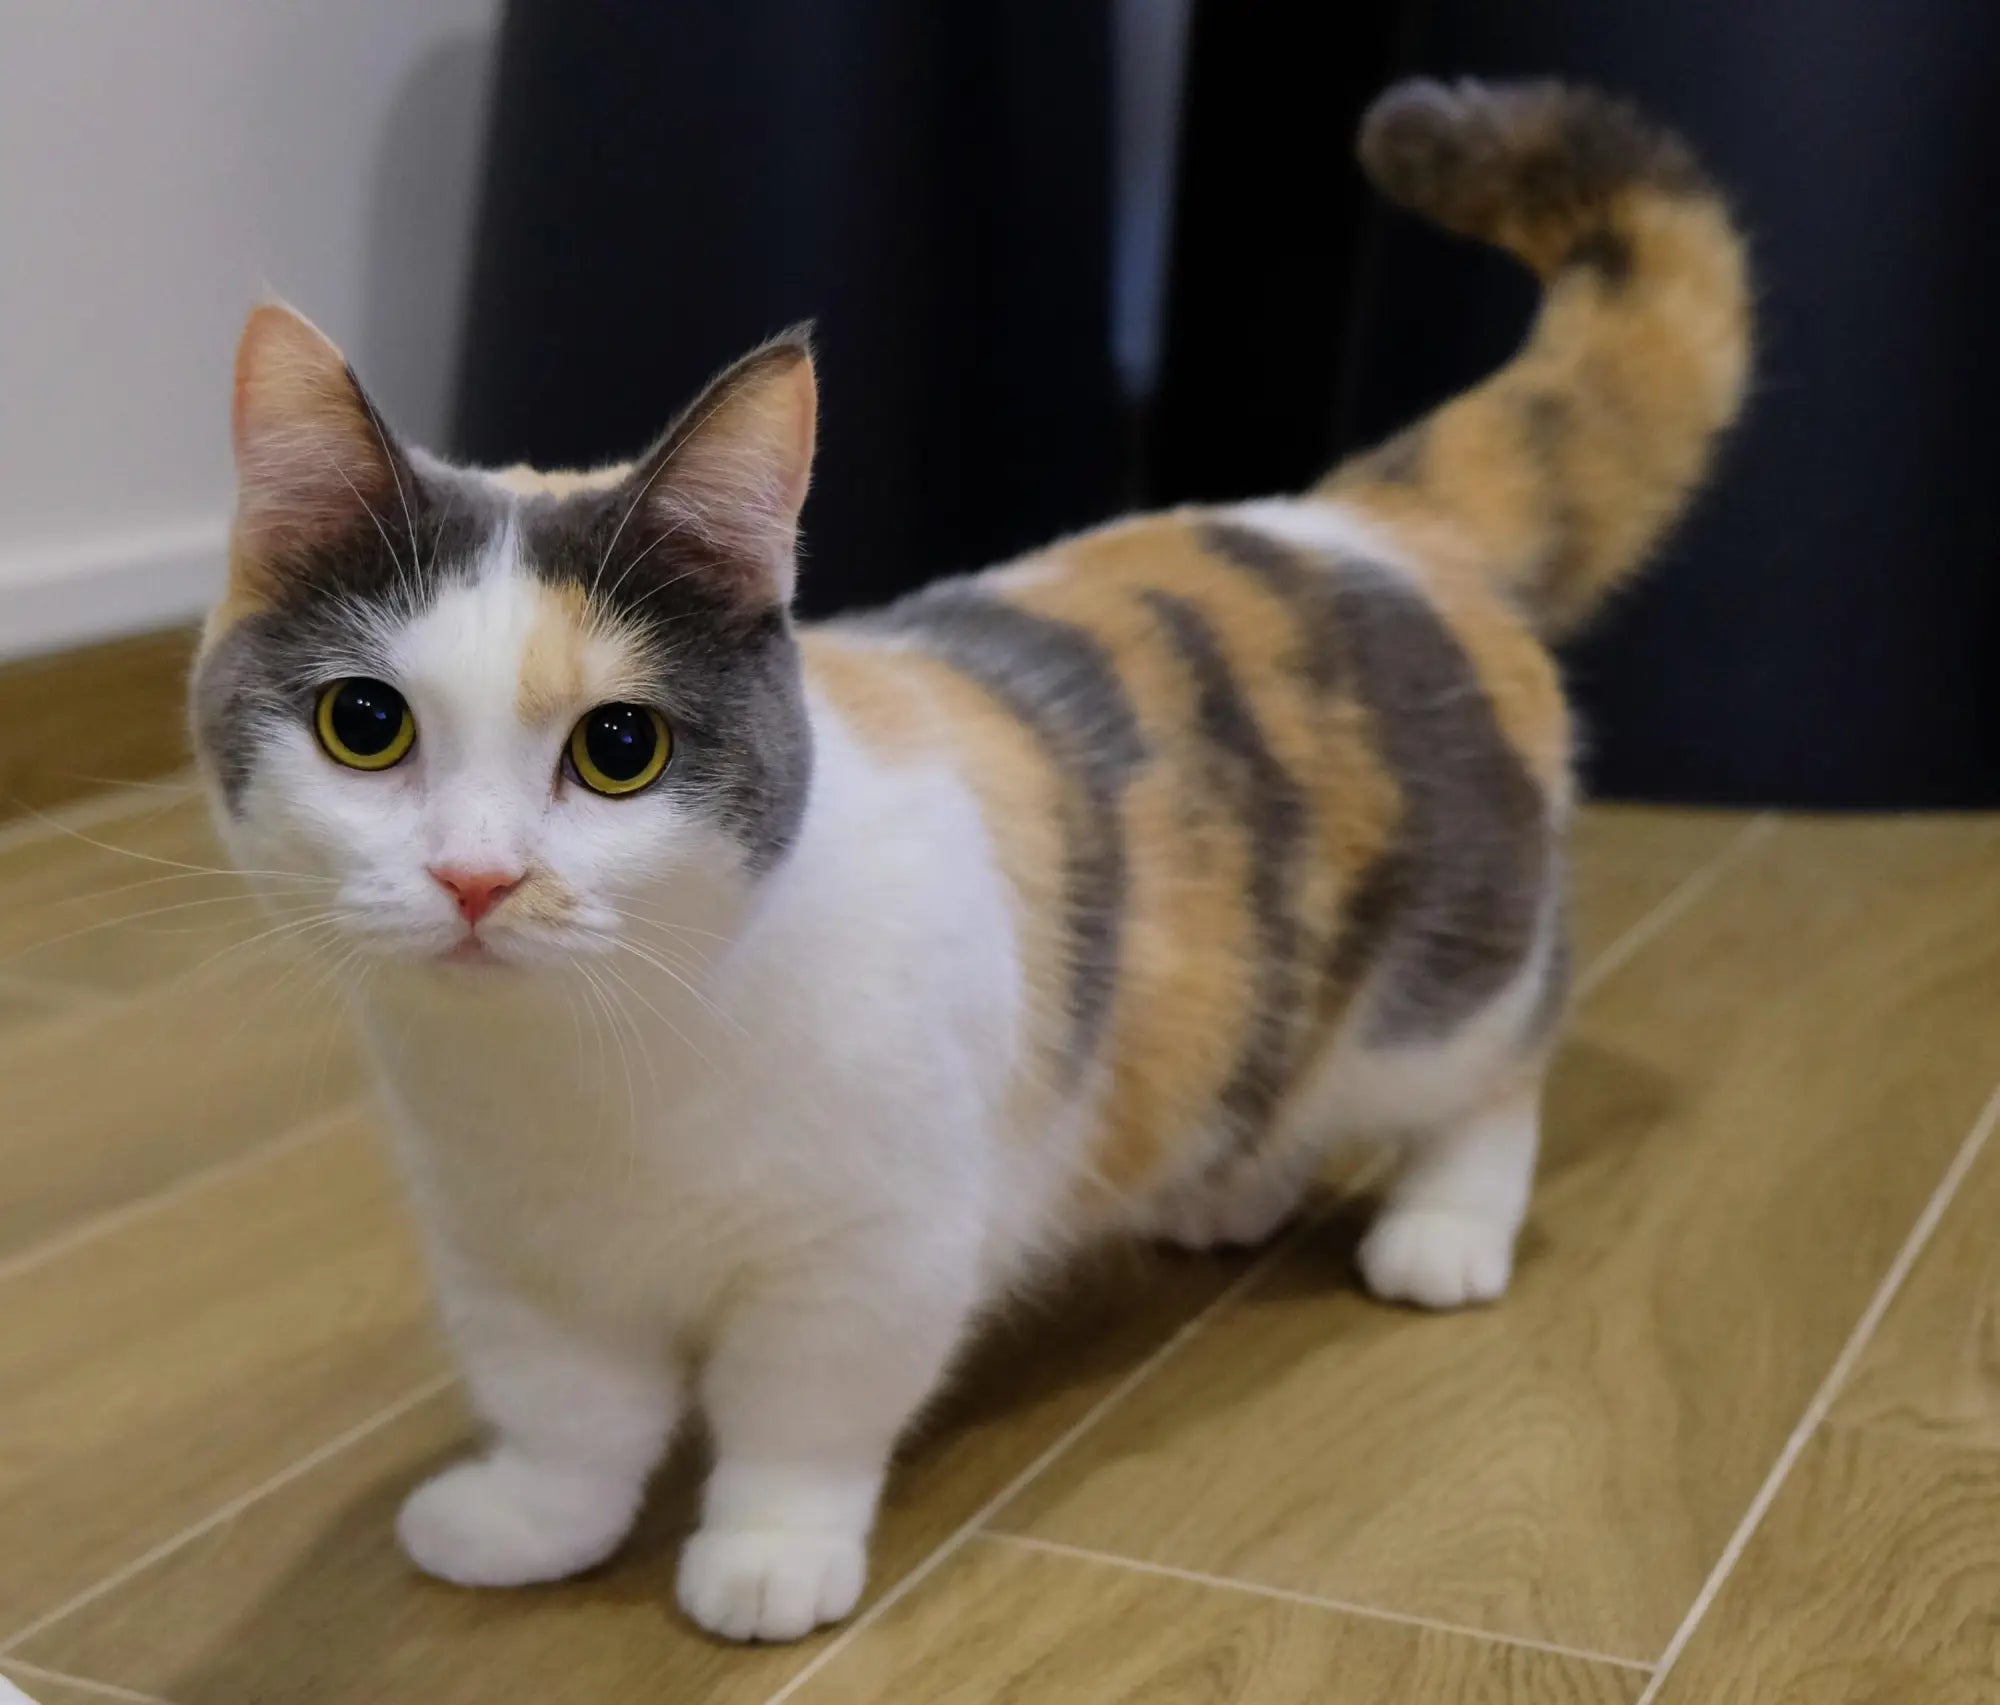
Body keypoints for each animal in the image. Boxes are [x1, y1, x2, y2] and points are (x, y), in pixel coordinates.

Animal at [191, 80, 1752, 1640]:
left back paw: (1444, 1228)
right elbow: (568, 1411)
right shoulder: (513, 1261)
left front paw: (768, 1555)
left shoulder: (872, 1251)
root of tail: (1360, 522)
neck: (579, 1080)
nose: (476, 876)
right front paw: (528, 1520)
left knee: (1498, 1071)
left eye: (620, 745)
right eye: (366, 725)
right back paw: (1224, 1190)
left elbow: (800, 1413)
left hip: (1452, 981)